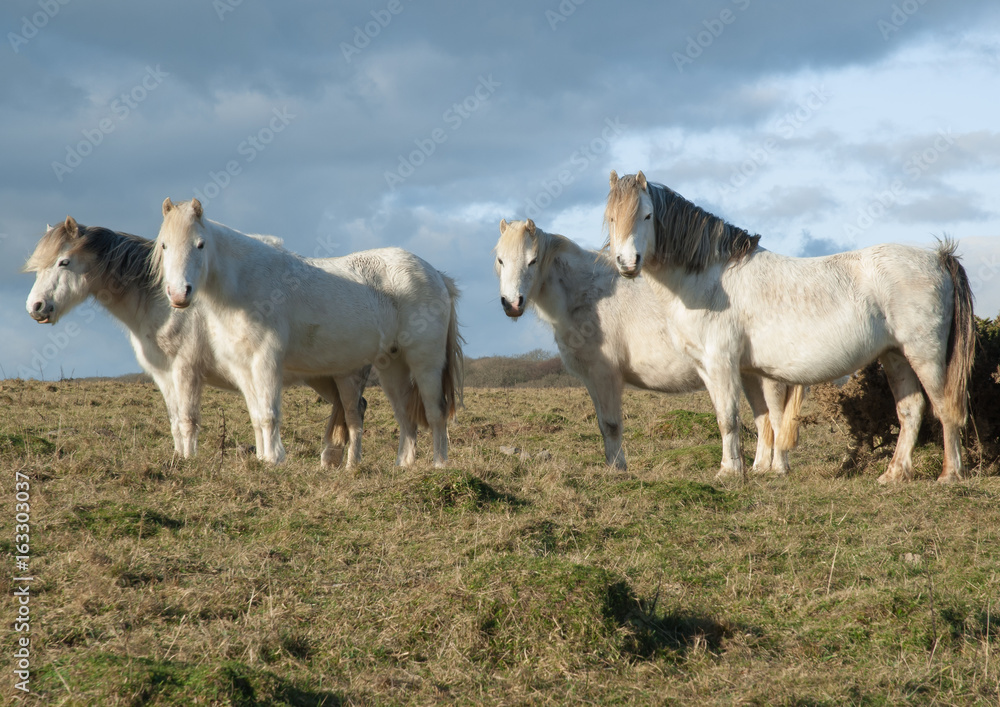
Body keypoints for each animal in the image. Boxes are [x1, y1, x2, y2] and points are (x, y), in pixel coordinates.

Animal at [23, 217, 370, 468]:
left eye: (64, 262)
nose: (36, 307)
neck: (163, 303)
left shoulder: (187, 370)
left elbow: (189, 419)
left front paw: (190, 460)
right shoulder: (164, 375)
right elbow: (176, 420)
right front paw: (179, 457)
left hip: (345, 376)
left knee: (354, 412)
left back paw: (351, 465)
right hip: (322, 378)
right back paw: (329, 461)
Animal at [153, 198, 463, 468]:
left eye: (200, 244)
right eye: (164, 245)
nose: (179, 294)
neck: (246, 283)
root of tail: (436, 274)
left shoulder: (267, 362)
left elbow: (269, 414)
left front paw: (273, 460)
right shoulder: (243, 368)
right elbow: (257, 415)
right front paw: (262, 460)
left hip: (425, 362)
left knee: (434, 412)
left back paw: (438, 464)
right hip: (392, 366)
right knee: (405, 417)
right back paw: (403, 466)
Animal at [494, 218, 803, 472]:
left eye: (533, 260)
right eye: (500, 260)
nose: (512, 304)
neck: (586, 295)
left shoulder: (605, 376)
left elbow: (612, 425)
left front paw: (617, 470)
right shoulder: (591, 379)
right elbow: (603, 425)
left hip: (771, 380)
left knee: (777, 420)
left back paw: (778, 469)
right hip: (749, 375)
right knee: (764, 421)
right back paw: (759, 469)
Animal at [604, 171, 975, 483]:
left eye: (647, 215)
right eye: (610, 218)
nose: (628, 263)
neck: (711, 281)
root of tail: (938, 258)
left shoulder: (721, 363)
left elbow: (729, 417)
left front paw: (729, 472)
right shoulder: (729, 369)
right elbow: (753, 418)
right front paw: (753, 469)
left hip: (924, 354)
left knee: (944, 407)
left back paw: (949, 475)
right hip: (895, 355)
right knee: (911, 411)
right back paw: (893, 475)